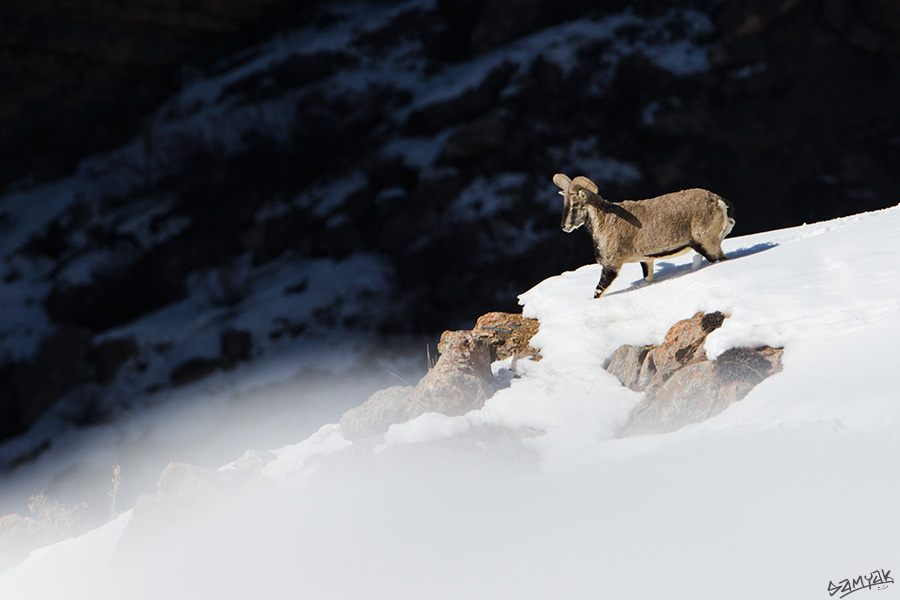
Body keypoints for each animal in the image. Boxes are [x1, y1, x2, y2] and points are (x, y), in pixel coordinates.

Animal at [552, 173, 736, 298]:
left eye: (576, 204)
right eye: (565, 203)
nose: (565, 226)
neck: (605, 220)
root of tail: (719, 201)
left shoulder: (611, 265)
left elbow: (598, 292)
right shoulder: (646, 260)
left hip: (706, 243)